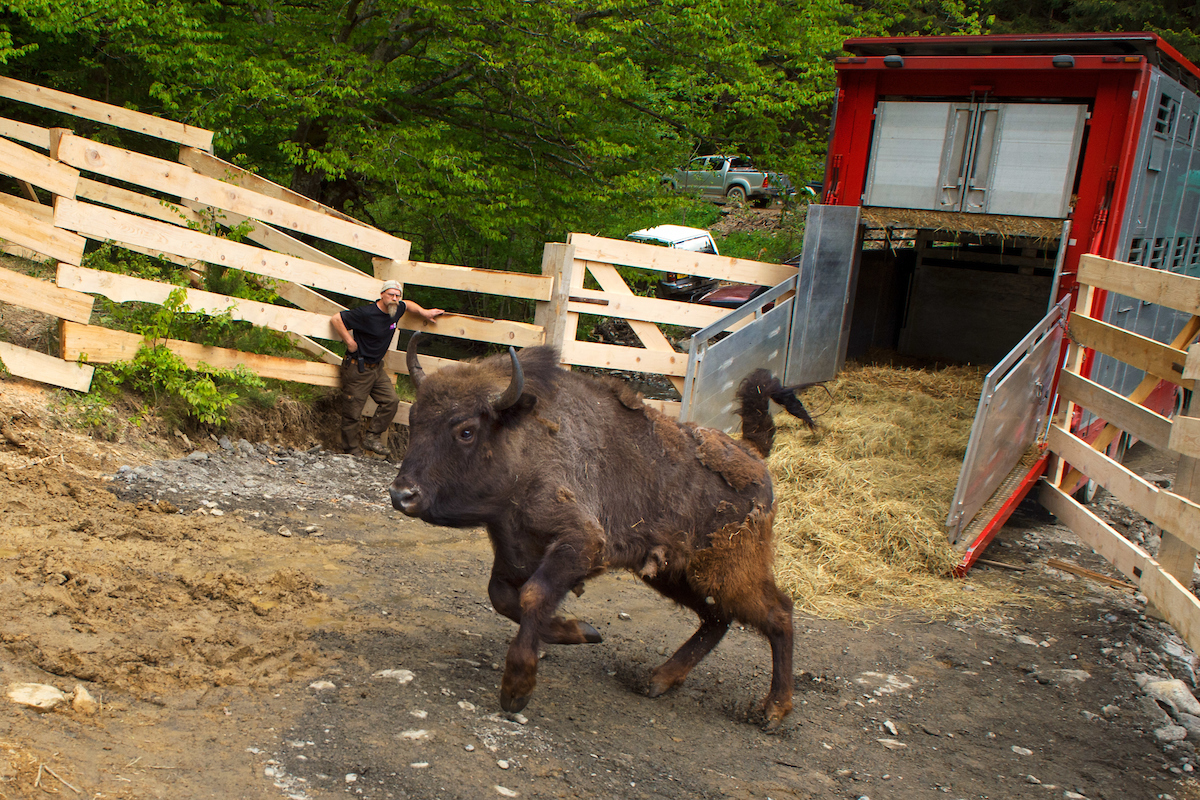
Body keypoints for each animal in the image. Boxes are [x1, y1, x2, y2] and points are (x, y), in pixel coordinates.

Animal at [389, 335, 814, 729]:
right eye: (415, 421)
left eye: (465, 431)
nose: (402, 494)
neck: (525, 446)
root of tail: (753, 455)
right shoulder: (513, 553)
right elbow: (504, 598)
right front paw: (583, 631)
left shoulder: (583, 544)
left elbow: (532, 597)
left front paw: (516, 690)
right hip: (673, 574)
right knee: (716, 618)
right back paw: (658, 680)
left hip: (729, 571)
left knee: (777, 613)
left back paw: (773, 711)